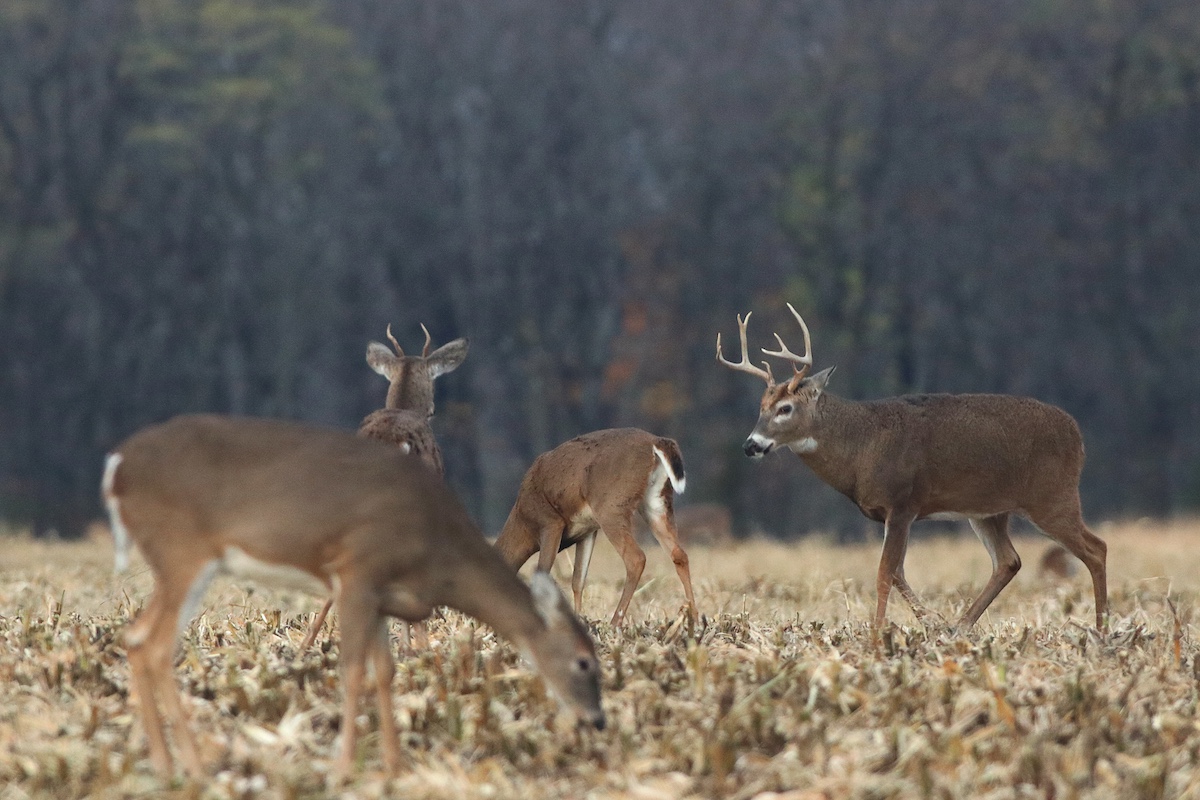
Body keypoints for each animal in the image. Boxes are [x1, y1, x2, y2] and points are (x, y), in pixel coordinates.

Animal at [102, 414, 603, 781]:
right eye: (584, 662)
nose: (597, 720)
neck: (436, 554)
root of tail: (117, 466)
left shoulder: (382, 596)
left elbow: (385, 672)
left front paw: (394, 765)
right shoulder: (358, 572)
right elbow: (352, 671)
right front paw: (344, 769)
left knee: (135, 639)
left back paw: (166, 764)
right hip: (183, 551)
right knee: (155, 646)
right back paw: (192, 768)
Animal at [493, 428, 697, 628]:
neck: (523, 520)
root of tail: (656, 442)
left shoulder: (551, 522)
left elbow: (543, 572)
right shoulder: (587, 531)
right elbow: (578, 580)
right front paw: (580, 618)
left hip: (611, 506)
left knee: (636, 558)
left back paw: (615, 623)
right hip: (657, 502)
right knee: (679, 554)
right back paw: (693, 618)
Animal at [717, 304, 1108, 632]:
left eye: (785, 408)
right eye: (761, 406)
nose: (751, 445)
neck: (861, 447)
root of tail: (1078, 436)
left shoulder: (903, 502)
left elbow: (884, 573)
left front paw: (876, 635)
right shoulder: (889, 513)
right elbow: (898, 573)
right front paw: (931, 621)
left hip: (1052, 497)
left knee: (1096, 549)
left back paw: (1102, 630)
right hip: (989, 511)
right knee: (1009, 561)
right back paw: (959, 626)